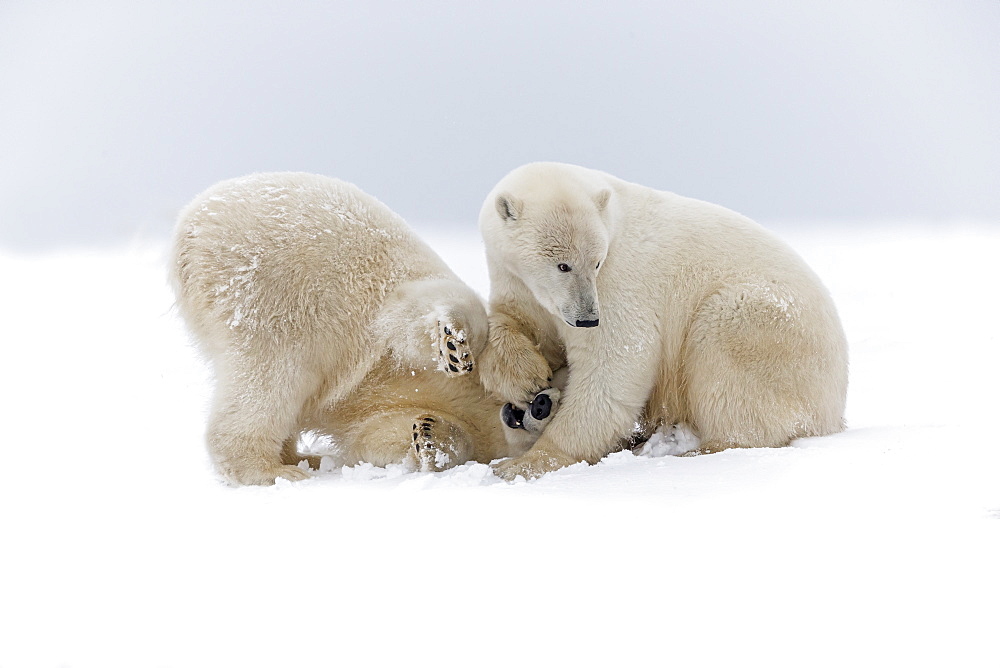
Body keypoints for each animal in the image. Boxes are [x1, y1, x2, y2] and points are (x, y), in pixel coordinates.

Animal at [170, 172, 540, 486]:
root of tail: (189, 228)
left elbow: (379, 432)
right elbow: (416, 315)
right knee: (274, 377)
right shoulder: (394, 306)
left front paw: (430, 437)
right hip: (273, 295)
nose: (537, 406)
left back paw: (303, 458)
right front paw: (460, 348)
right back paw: (272, 470)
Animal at [476, 162, 844, 480]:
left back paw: (695, 450)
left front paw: (523, 464)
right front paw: (525, 378)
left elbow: (614, 364)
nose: (587, 319)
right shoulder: (514, 278)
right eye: (563, 265)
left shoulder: (619, 282)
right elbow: (513, 320)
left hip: (763, 324)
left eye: (596, 262)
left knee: (729, 365)